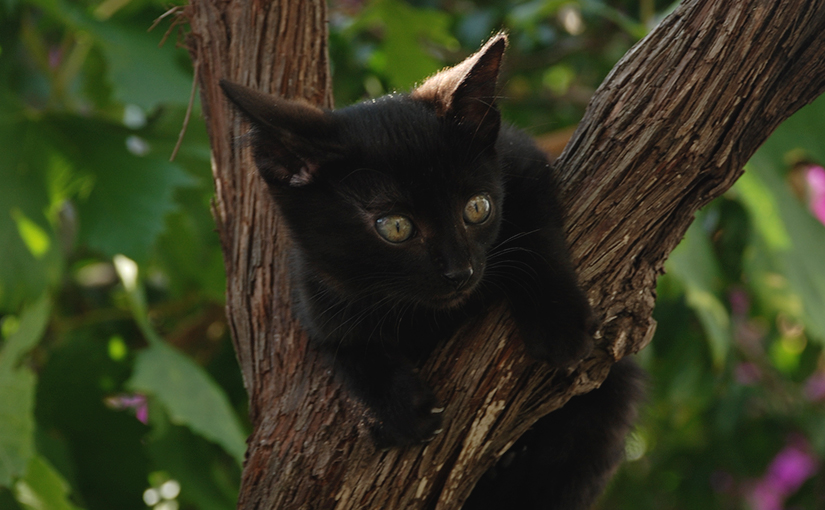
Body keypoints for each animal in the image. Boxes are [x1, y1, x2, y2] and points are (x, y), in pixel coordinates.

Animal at [220, 32, 644, 510]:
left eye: (477, 208)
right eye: (396, 227)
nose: (460, 271)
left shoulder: (522, 159)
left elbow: (539, 234)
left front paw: (557, 322)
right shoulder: (315, 290)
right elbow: (343, 344)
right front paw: (395, 407)